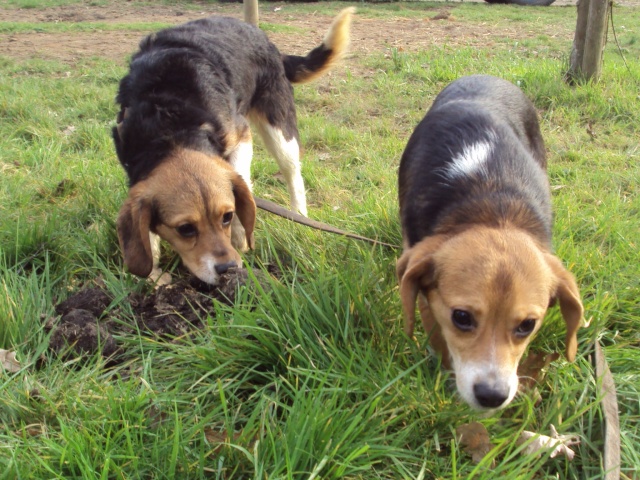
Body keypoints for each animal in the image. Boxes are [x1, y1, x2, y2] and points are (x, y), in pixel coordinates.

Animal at [114, 8, 356, 284]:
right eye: (185, 229)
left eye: (227, 217)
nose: (227, 268)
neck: (170, 127)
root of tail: (261, 36)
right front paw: (152, 270)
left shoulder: (241, 135)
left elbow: (241, 182)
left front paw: (241, 233)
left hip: (279, 130)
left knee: (293, 173)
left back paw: (299, 214)